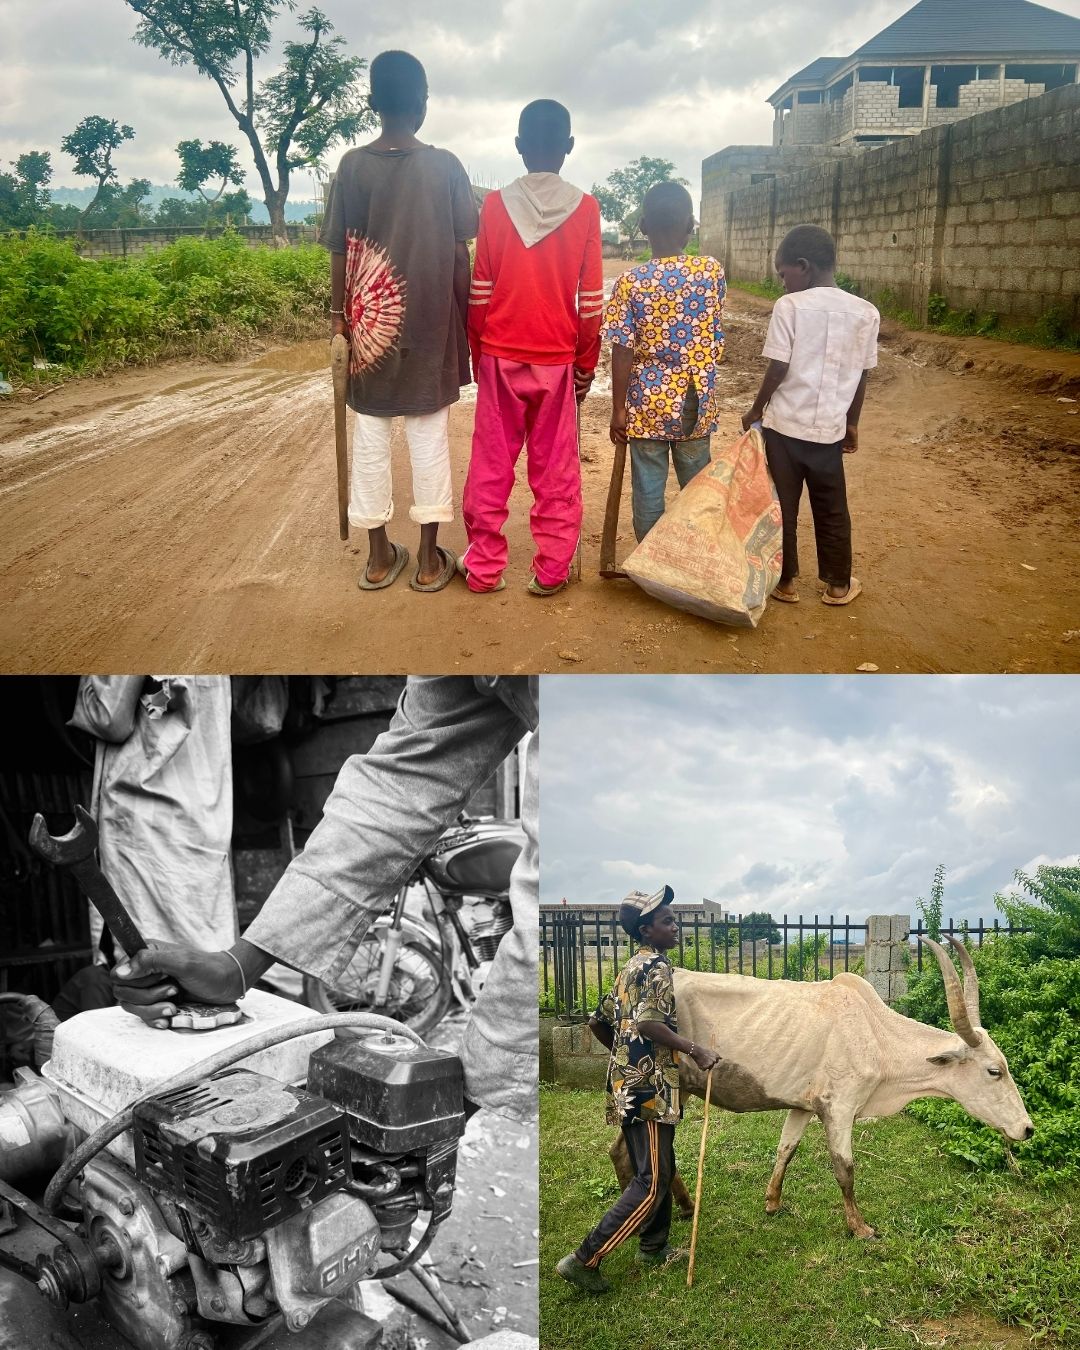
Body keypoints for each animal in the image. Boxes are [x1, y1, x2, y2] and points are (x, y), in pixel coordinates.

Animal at [612, 939, 1031, 1236]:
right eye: (994, 1071)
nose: (1026, 1129)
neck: (875, 1033)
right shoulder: (839, 1108)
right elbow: (845, 1169)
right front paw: (860, 1227)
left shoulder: (804, 1107)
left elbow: (786, 1150)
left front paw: (772, 1203)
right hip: (669, 1091)